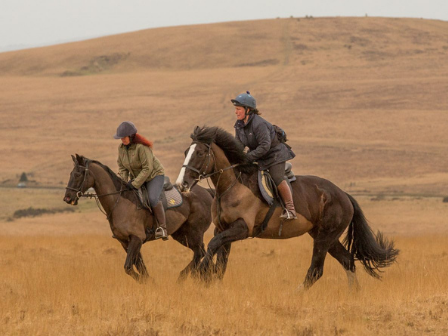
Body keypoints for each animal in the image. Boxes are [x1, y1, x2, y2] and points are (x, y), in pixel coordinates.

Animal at [175, 127, 400, 290]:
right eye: (186, 152)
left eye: (200, 153)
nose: (181, 184)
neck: (231, 185)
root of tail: (344, 195)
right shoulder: (222, 228)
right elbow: (220, 259)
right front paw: (211, 281)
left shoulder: (241, 228)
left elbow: (213, 246)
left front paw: (201, 273)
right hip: (325, 236)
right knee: (347, 261)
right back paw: (354, 293)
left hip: (324, 237)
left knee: (317, 269)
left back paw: (297, 292)